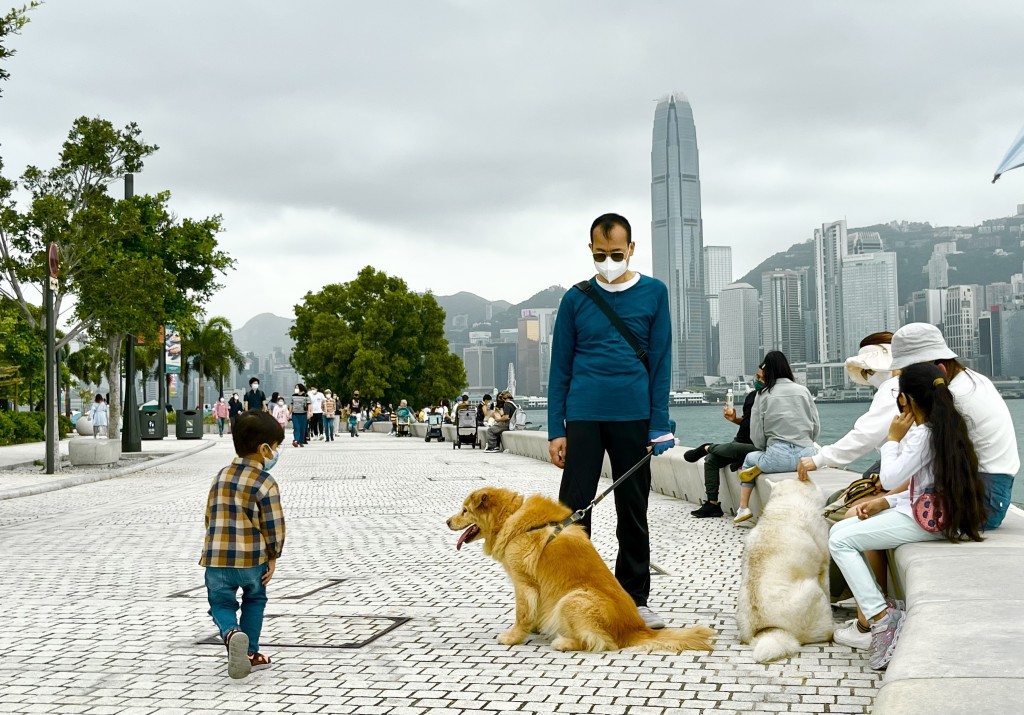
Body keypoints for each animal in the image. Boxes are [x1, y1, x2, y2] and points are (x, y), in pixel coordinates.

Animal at [741, 475, 835, 659]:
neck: (787, 501)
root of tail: (768, 630)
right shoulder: (824, 564)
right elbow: (828, 588)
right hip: (811, 591)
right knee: (825, 630)